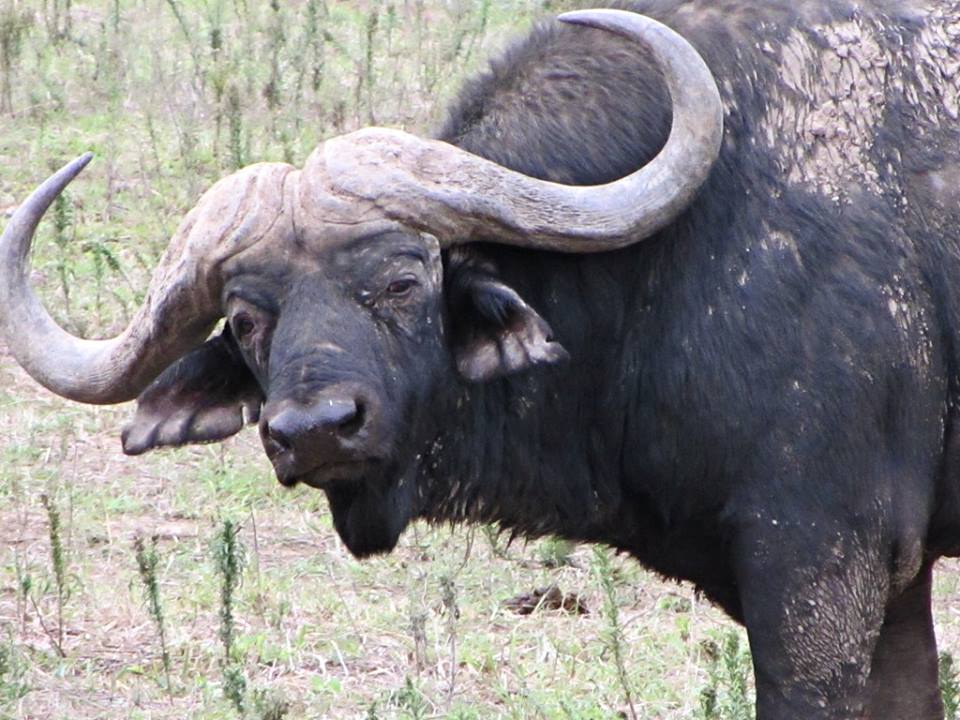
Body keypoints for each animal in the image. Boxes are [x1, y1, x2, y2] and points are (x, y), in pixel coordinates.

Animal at [3, 2, 960, 718]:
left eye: (401, 281)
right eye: (244, 320)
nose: (314, 430)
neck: (677, 254)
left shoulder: (819, 573)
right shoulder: (891, 592)